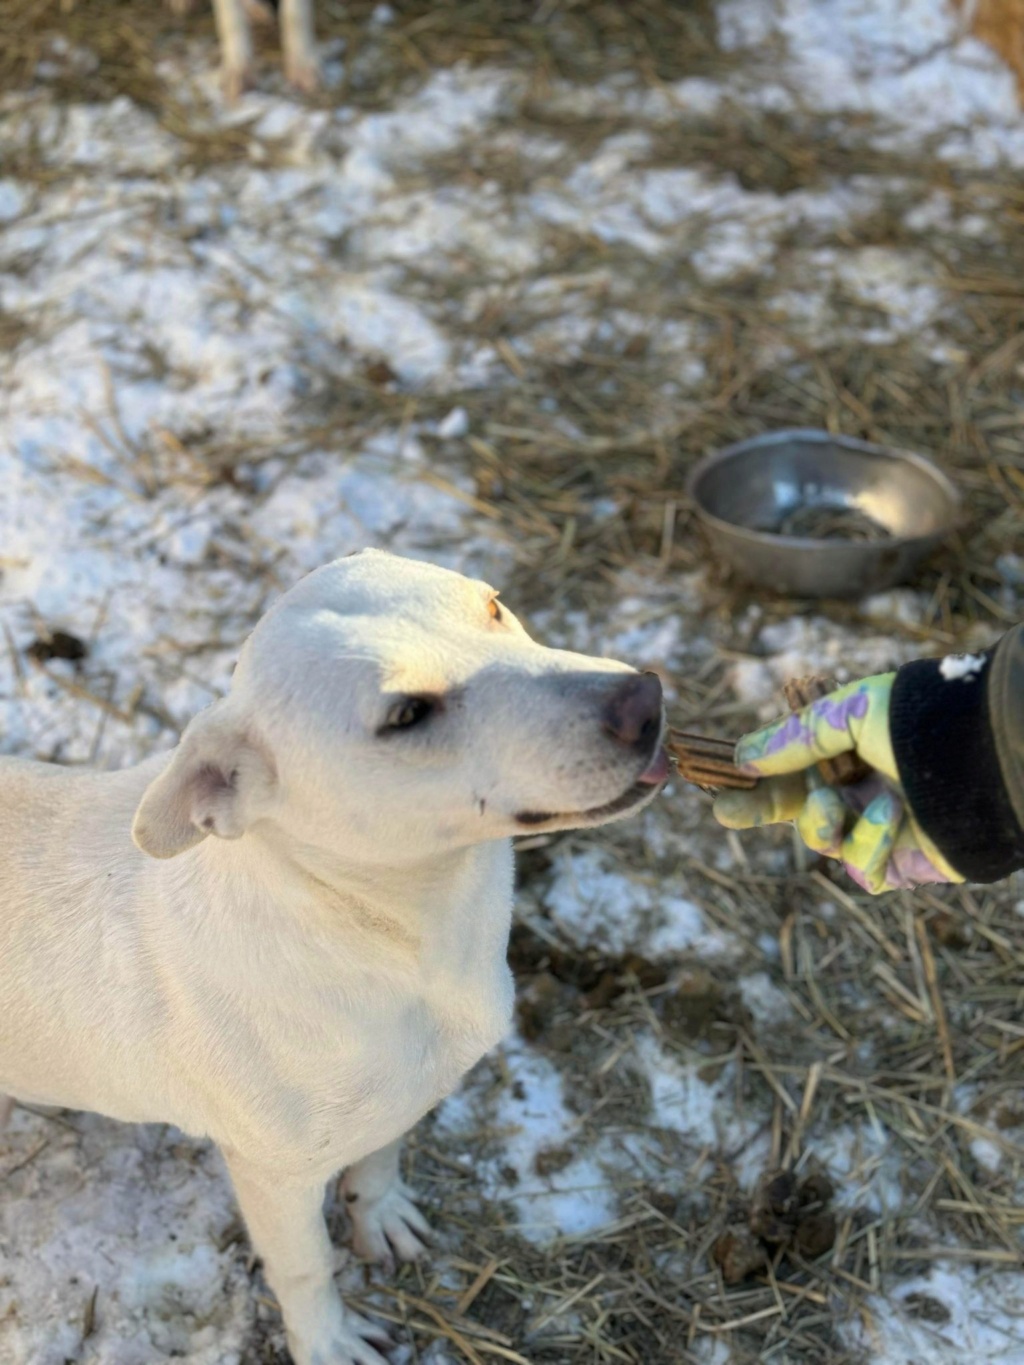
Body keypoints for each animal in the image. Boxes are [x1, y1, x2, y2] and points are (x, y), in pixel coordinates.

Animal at [0, 551, 669, 1365]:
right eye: (406, 715)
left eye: (494, 606)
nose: (645, 700)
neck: (385, 932)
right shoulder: (275, 1177)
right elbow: (306, 1266)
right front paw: (326, 1340)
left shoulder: (404, 1092)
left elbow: (380, 1160)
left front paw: (377, 1216)